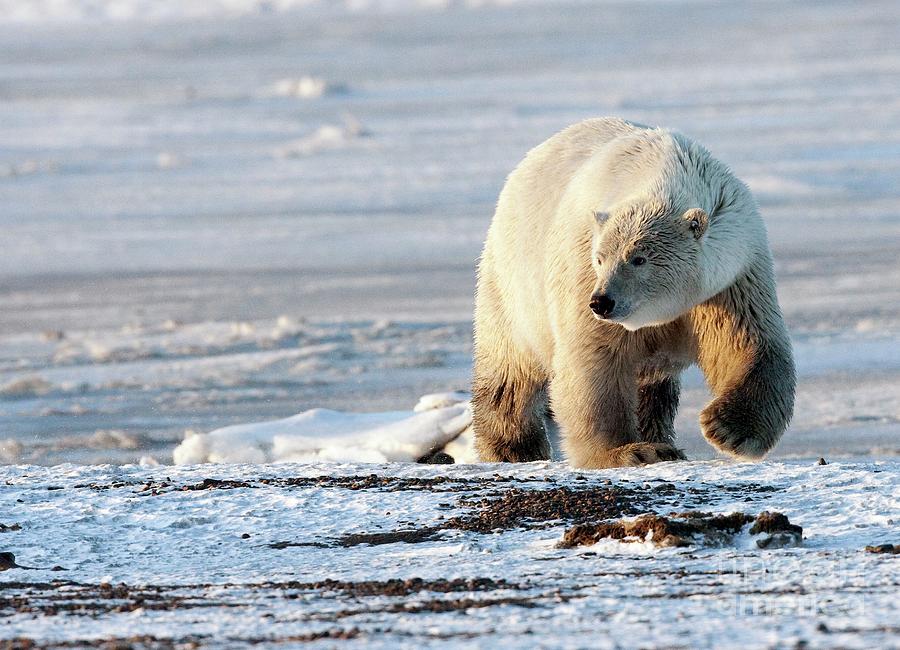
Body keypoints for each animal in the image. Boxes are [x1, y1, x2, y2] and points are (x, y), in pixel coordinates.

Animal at [472, 116, 796, 466]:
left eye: (639, 258)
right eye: (600, 257)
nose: (602, 302)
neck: (668, 171)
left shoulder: (730, 278)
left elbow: (747, 343)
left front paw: (727, 429)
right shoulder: (582, 270)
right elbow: (595, 362)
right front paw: (629, 451)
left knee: (653, 388)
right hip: (511, 283)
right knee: (510, 370)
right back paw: (515, 447)